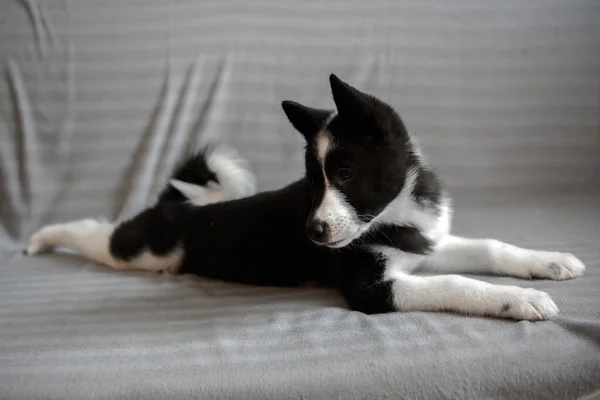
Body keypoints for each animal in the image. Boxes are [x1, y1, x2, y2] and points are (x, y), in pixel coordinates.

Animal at [25, 73, 584, 320]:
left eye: (346, 173)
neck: (393, 211)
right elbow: (455, 281)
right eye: (314, 183)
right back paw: (37, 240)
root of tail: (175, 206)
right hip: (140, 250)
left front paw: (548, 262)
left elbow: (489, 247)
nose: (313, 233)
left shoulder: (423, 243)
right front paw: (517, 299)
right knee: (94, 232)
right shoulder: (370, 288)